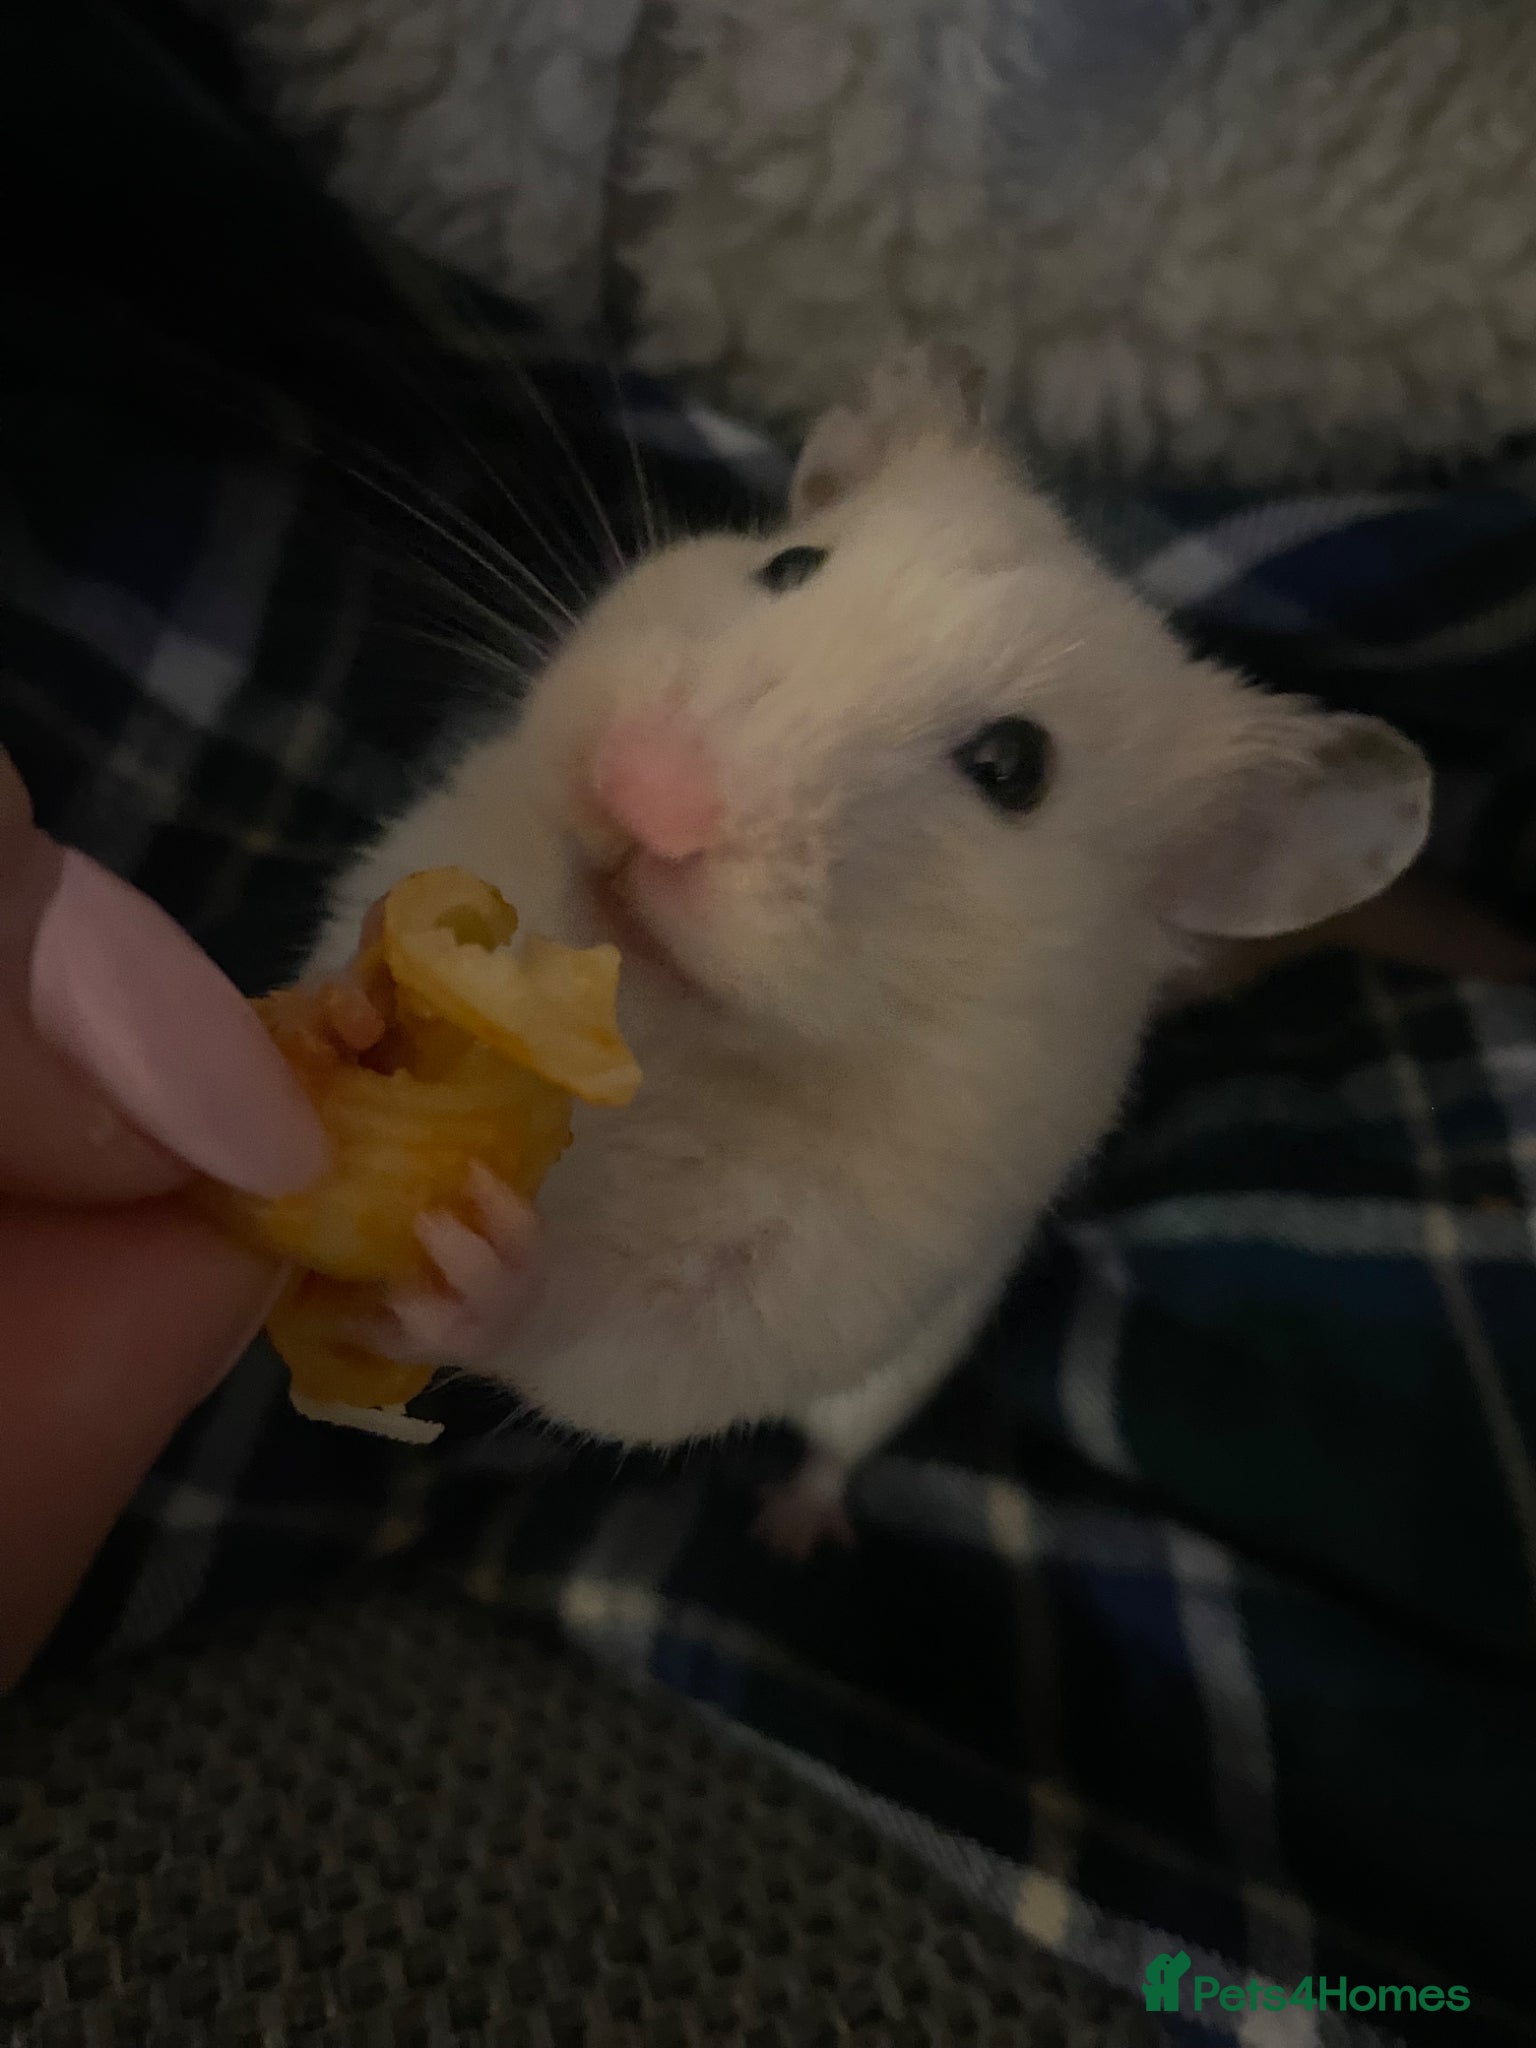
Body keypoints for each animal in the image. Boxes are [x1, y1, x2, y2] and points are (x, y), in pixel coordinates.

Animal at [310, 349, 1435, 1549]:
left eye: (1013, 766)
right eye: (790, 564)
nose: (642, 793)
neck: (661, 1020)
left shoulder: (817, 1274)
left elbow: (627, 1346)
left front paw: (481, 1271)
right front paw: (355, 1014)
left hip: (901, 1372)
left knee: (836, 1446)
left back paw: (792, 1529)